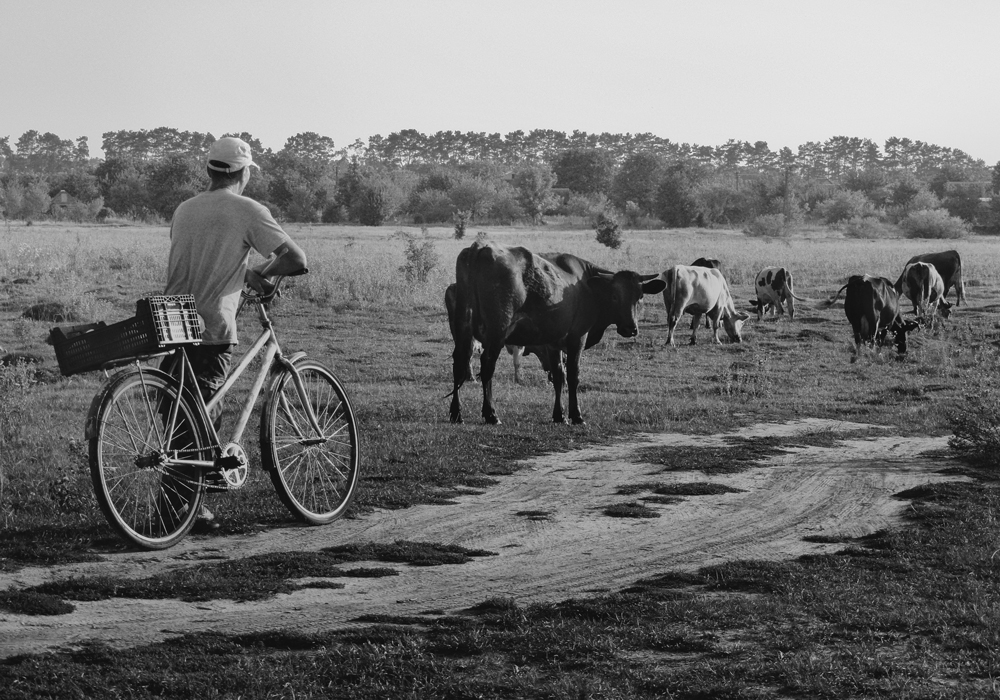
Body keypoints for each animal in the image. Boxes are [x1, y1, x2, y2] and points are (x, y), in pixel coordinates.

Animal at [450, 241, 668, 426]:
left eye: (639, 296)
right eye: (615, 296)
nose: (631, 328)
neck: (585, 285)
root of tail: (480, 247)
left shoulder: (552, 342)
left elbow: (558, 375)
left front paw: (559, 415)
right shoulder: (577, 337)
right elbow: (572, 375)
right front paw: (576, 415)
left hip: (463, 328)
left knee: (459, 363)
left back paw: (456, 413)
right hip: (497, 332)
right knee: (487, 366)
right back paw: (491, 414)